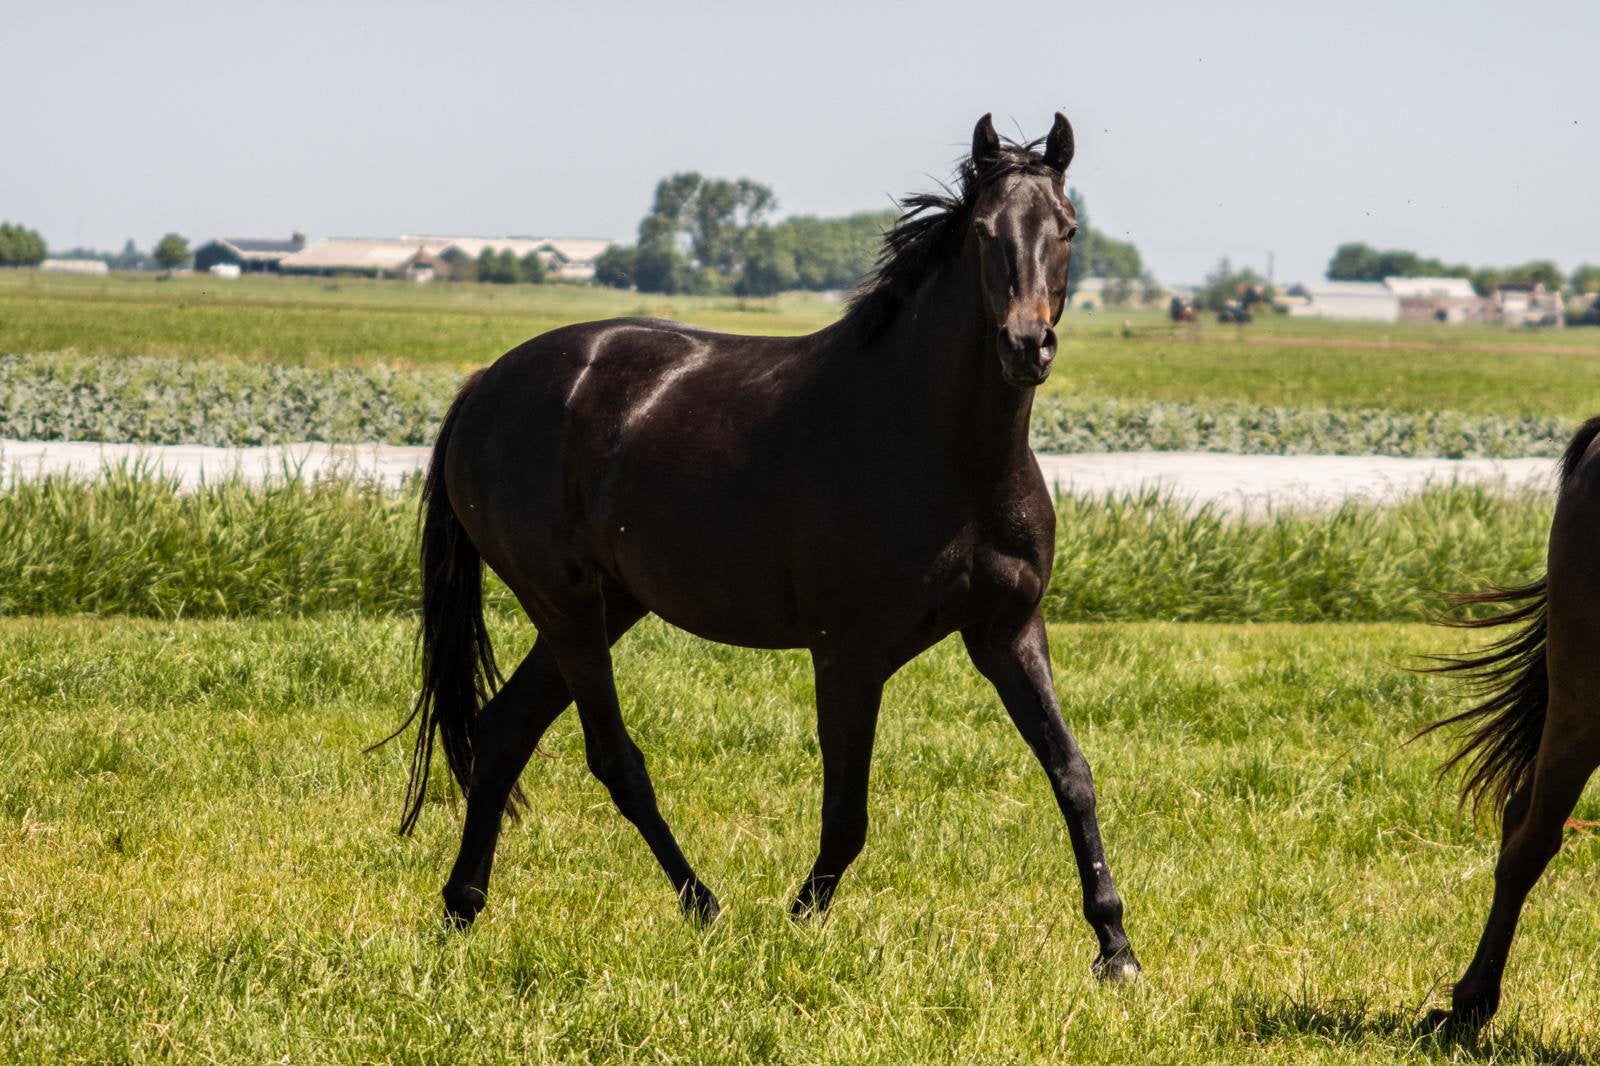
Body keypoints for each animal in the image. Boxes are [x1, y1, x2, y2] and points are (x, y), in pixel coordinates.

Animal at [379, 113, 1141, 980]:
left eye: (1067, 229)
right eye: (984, 232)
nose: (1026, 345)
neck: (943, 449)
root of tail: (483, 386)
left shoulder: (1007, 632)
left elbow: (1071, 773)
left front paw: (1115, 945)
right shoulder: (847, 653)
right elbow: (847, 813)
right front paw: (799, 921)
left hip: (606, 607)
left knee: (506, 731)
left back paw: (462, 907)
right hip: (566, 607)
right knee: (613, 758)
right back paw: (702, 906)